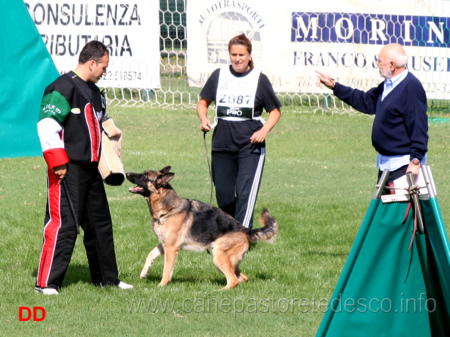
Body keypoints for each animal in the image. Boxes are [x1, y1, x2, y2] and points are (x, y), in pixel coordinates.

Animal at [125, 165, 278, 288]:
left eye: (145, 175)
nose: (126, 173)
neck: (168, 209)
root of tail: (246, 230)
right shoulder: (164, 245)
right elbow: (150, 255)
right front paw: (144, 272)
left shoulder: (171, 248)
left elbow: (166, 270)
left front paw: (161, 285)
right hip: (227, 260)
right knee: (242, 278)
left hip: (218, 256)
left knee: (233, 280)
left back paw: (218, 292)